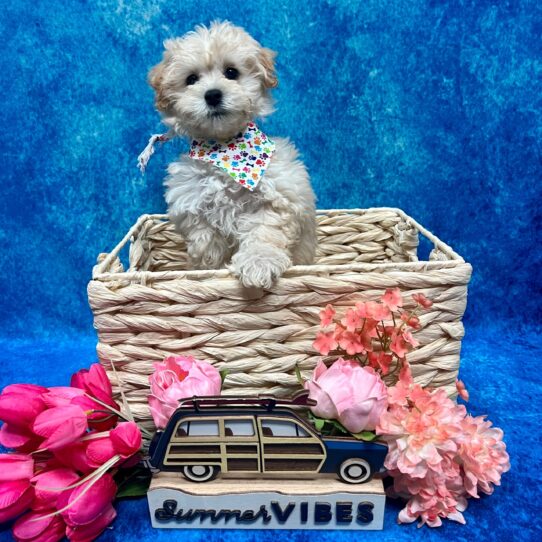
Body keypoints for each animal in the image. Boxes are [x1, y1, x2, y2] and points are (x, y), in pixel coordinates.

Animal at [149, 21, 318, 288]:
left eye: (231, 72)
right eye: (191, 79)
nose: (212, 95)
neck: (225, 150)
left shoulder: (275, 199)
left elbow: (264, 233)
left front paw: (258, 264)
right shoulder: (194, 209)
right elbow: (207, 246)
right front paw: (208, 272)